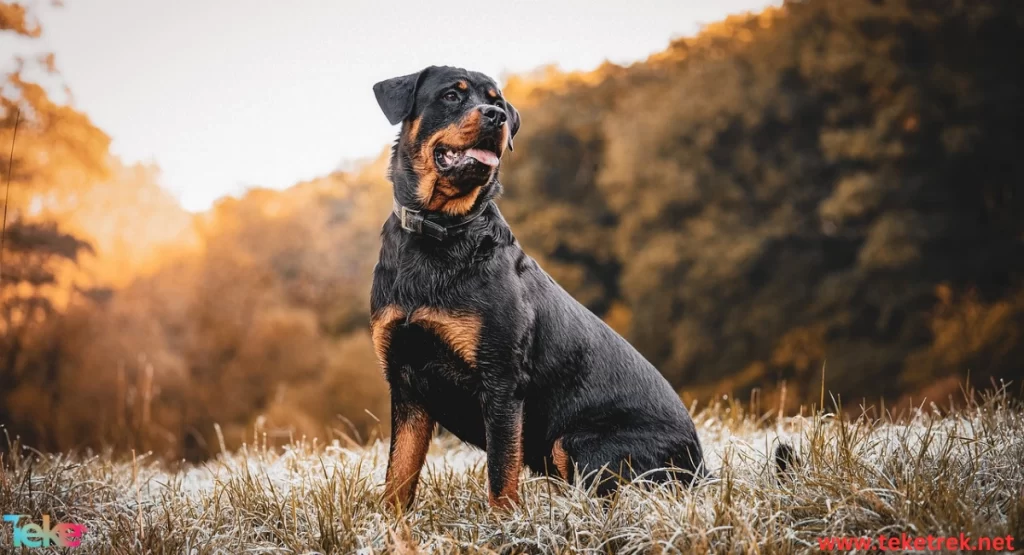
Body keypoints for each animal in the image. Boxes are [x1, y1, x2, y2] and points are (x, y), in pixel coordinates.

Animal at [372, 66, 708, 514]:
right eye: (451, 96)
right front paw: (391, 525)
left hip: (579, 442)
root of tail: (702, 467)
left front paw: (503, 525)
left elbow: (501, 474)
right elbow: (399, 475)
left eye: (496, 101)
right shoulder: (406, 381)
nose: (496, 116)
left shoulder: (501, 381)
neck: (440, 232)